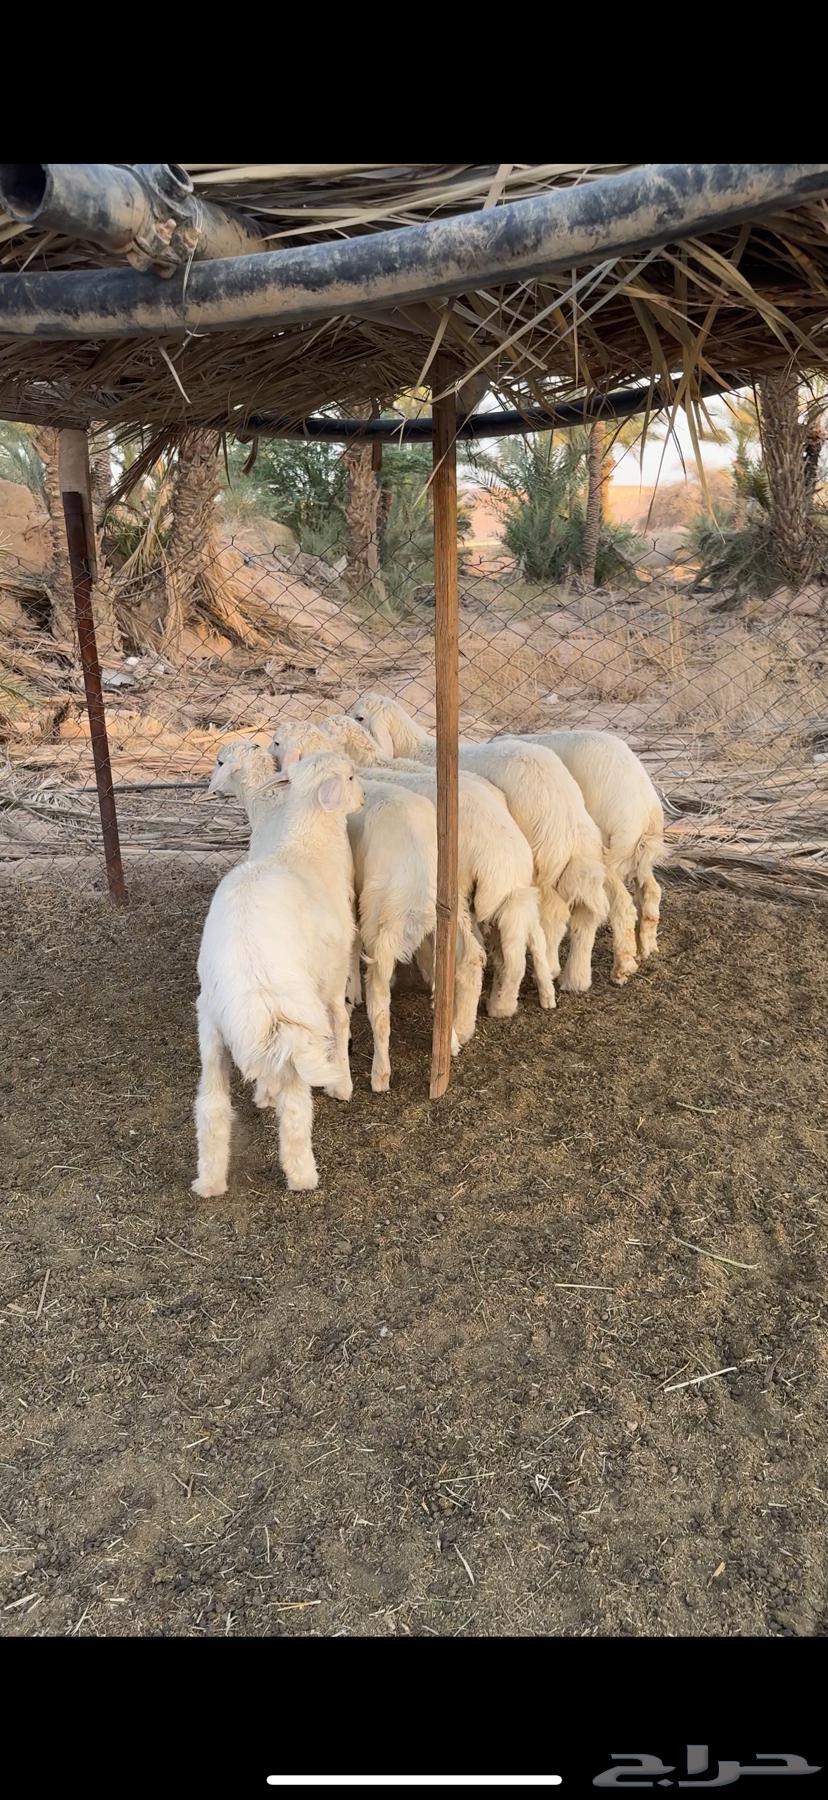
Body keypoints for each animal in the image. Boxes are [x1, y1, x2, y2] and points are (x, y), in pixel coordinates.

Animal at [192, 752, 363, 1197]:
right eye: (351, 777)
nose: (362, 799)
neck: (306, 848)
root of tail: (255, 985)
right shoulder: (333, 973)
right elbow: (341, 1021)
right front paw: (342, 1083)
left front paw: (261, 1094)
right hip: (297, 1020)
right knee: (296, 1109)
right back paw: (303, 1175)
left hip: (212, 1027)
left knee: (212, 1108)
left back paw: (209, 1182)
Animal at [348, 693, 609, 993]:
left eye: (359, 717)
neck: (413, 749)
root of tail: (564, 816)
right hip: (581, 853)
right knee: (585, 912)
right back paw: (575, 977)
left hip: (538, 856)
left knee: (551, 915)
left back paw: (550, 970)